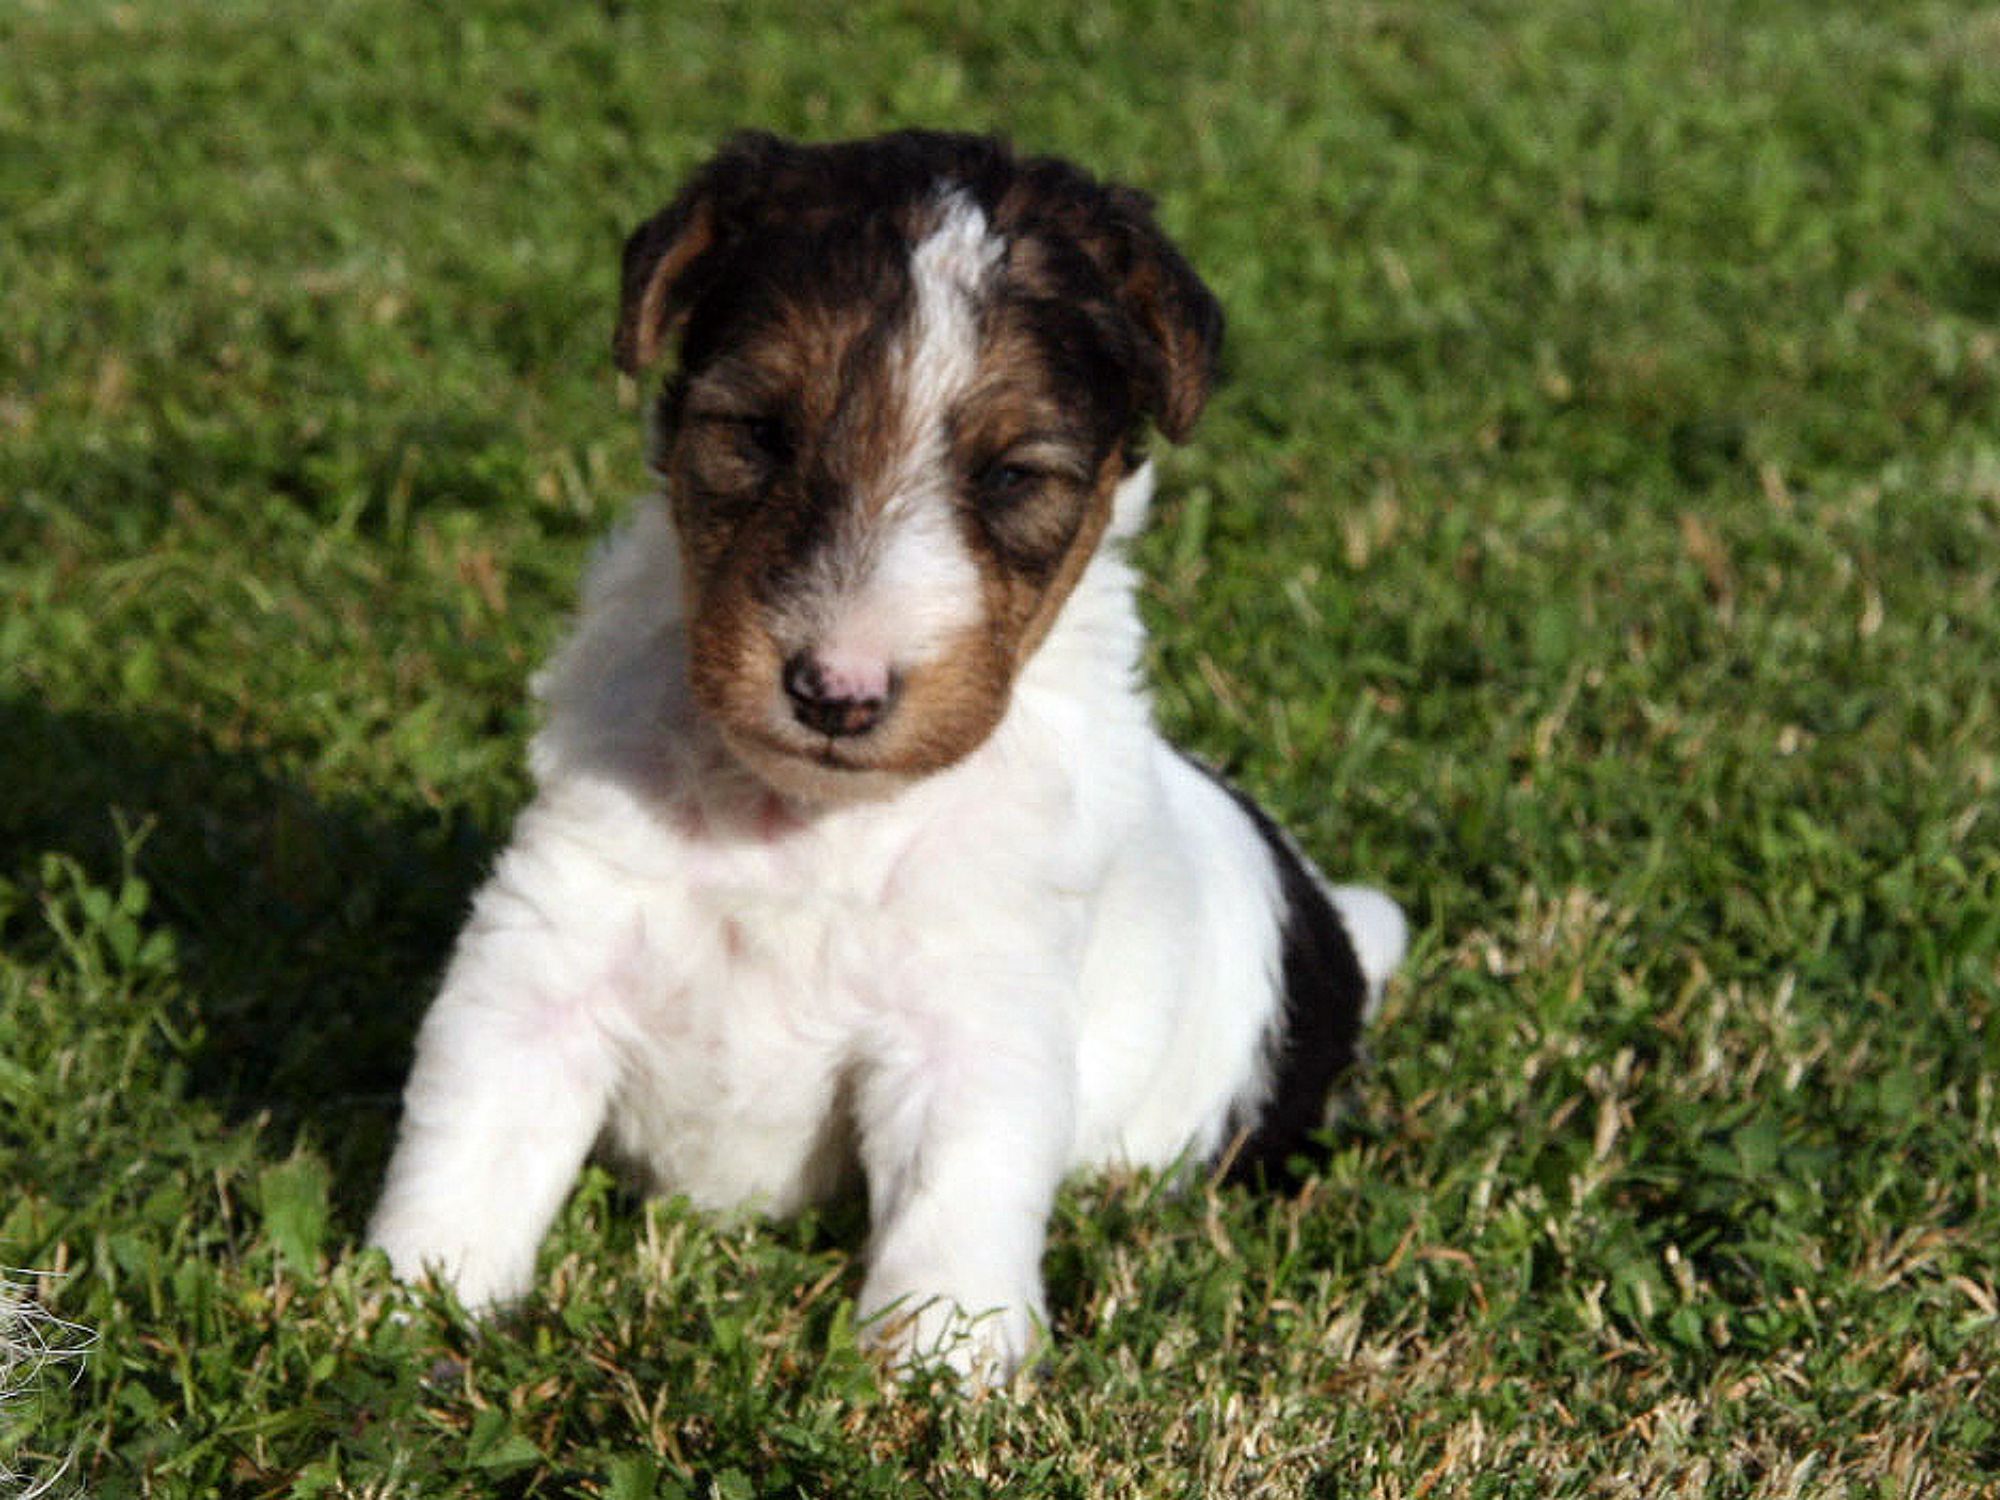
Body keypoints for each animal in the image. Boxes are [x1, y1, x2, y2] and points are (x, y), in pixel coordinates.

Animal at [367, 129, 1407, 1382]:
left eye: (1011, 476)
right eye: (755, 432)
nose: (837, 690)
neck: (802, 822)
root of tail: (1333, 920)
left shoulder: (972, 1023)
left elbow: (955, 1211)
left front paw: (939, 1382)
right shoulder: (543, 961)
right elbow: (467, 1154)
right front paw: (399, 1315)